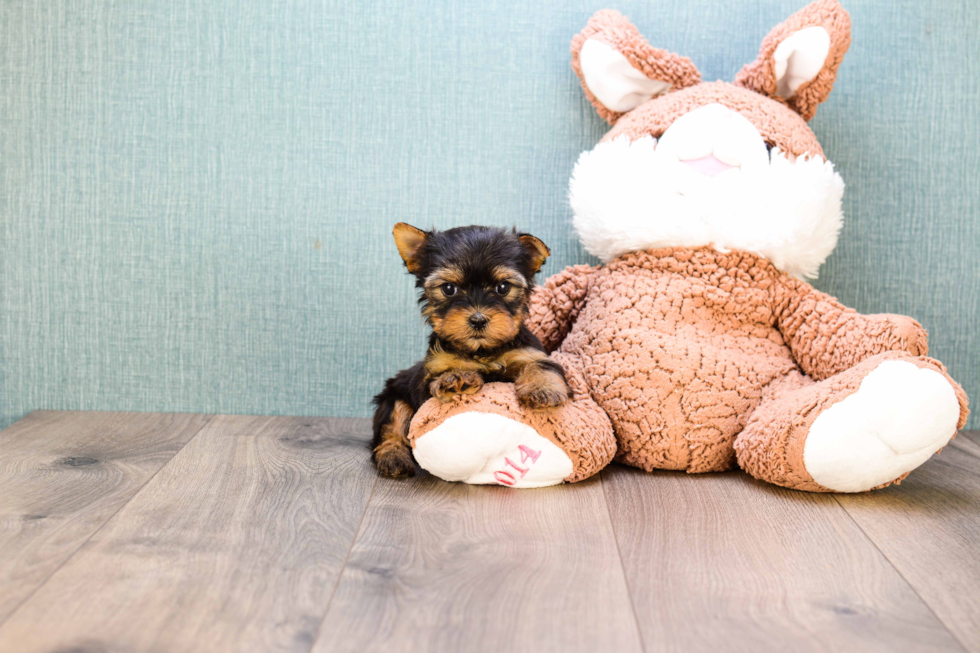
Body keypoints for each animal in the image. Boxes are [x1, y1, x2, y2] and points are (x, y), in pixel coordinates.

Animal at [376, 223, 576, 474]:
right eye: (449, 289)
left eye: (503, 287)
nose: (478, 319)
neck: (482, 350)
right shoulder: (431, 374)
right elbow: (438, 379)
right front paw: (456, 378)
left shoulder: (530, 353)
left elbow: (542, 367)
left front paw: (542, 390)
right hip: (394, 394)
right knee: (392, 424)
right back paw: (392, 456)